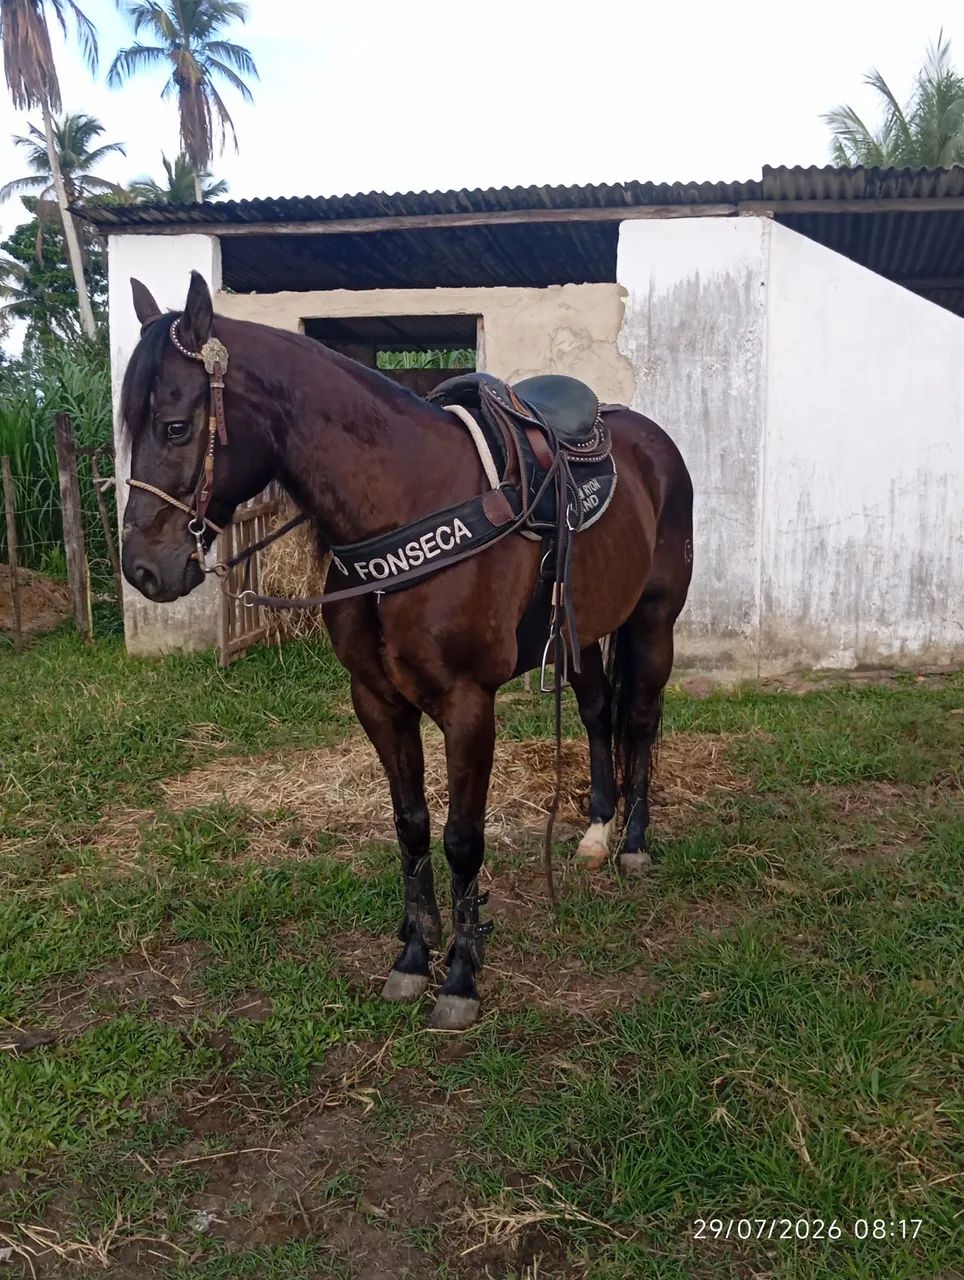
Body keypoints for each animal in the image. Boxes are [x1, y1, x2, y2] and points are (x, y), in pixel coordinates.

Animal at [119, 272, 694, 1029]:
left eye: (175, 427)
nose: (142, 569)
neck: (403, 504)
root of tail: (650, 440)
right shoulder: (378, 702)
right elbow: (411, 826)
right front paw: (414, 958)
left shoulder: (467, 704)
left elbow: (461, 837)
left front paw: (462, 975)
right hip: (583, 631)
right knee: (599, 714)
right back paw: (597, 832)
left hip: (653, 621)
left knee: (640, 721)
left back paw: (632, 845)